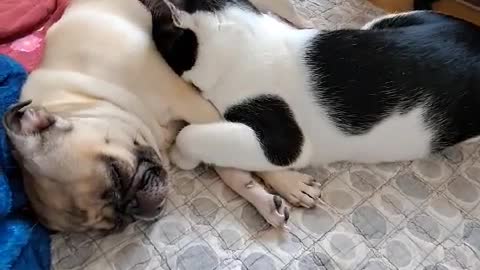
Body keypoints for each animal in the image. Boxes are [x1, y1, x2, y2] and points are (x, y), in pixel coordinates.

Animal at [3, 0, 318, 232]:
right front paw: (264, 201)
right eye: (115, 226)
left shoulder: (197, 107)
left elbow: (256, 153)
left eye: (116, 173)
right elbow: (233, 171)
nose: (134, 206)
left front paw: (288, 182)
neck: (87, 97)